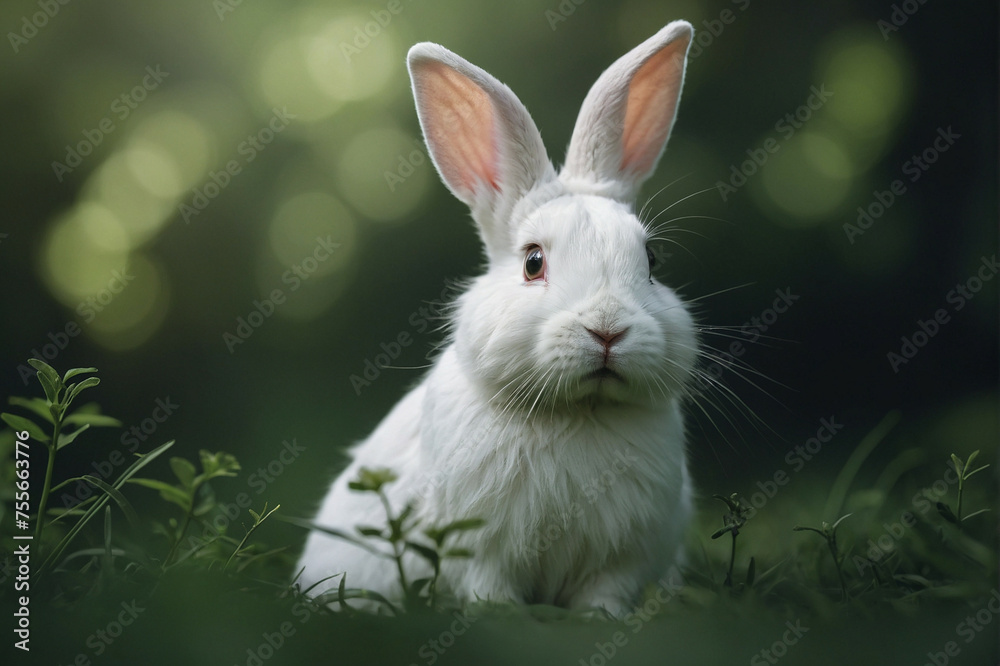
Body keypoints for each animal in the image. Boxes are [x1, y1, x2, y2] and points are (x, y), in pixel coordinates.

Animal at [297, 20, 698, 616]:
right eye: (533, 262)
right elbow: (490, 592)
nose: (608, 329)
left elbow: (604, 597)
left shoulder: (622, 560)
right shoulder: (480, 551)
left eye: (652, 261)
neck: (577, 412)